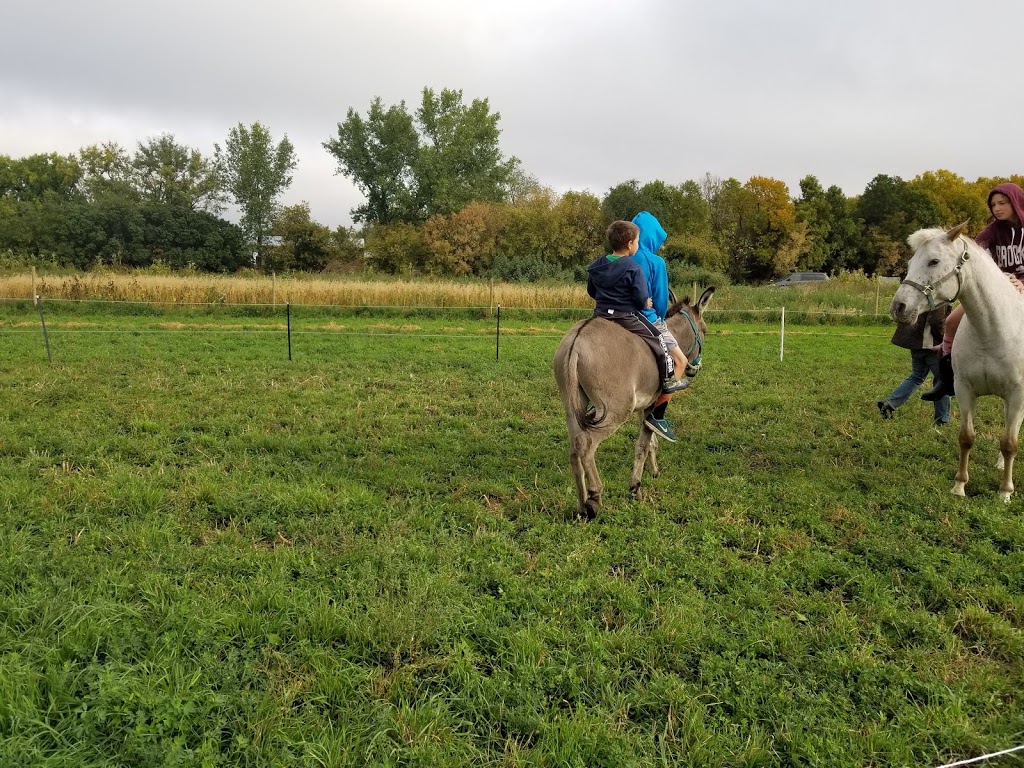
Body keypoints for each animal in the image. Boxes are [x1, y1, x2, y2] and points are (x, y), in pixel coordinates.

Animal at [888, 219, 1024, 501]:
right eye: (910, 262)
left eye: (934, 261)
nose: (898, 307)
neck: (992, 330)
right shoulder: (964, 390)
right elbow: (966, 437)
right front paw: (959, 485)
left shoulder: (1018, 394)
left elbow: (1010, 443)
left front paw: (1005, 492)